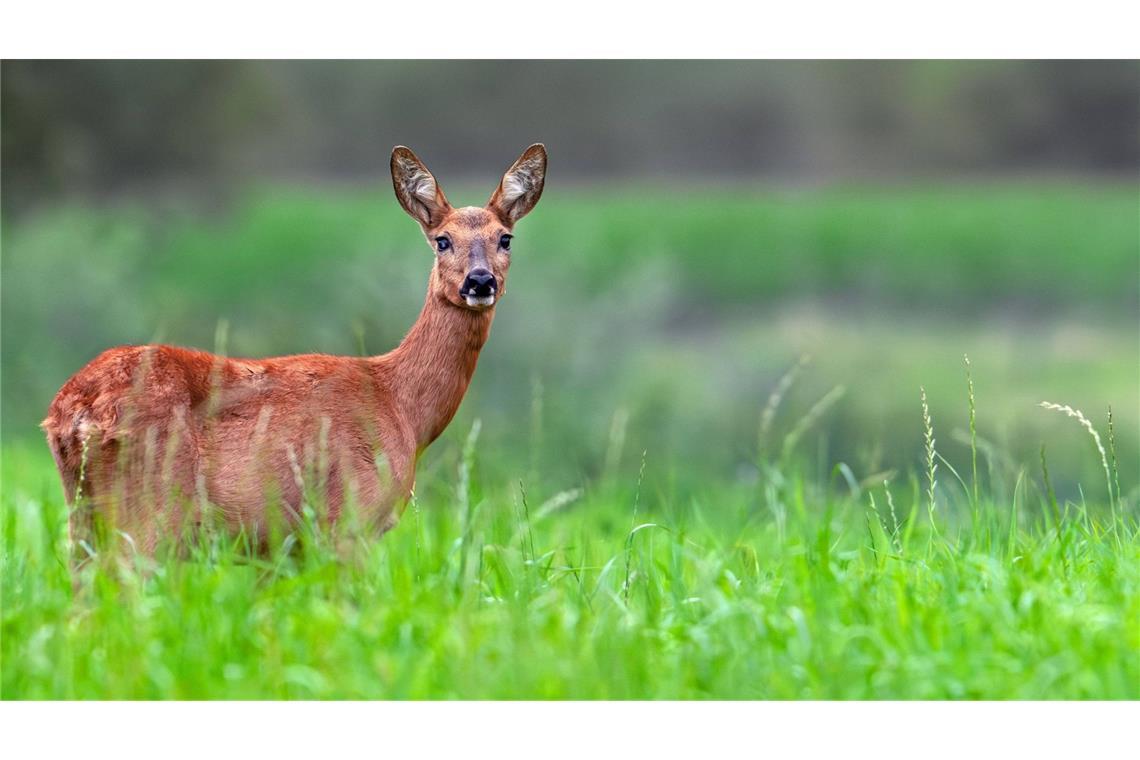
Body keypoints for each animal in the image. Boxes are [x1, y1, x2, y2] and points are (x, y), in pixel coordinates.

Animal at [40, 142, 547, 565]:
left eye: (505, 238)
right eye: (442, 240)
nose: (479, 282)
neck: (401, 405)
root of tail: (72, 412)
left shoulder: (283, 546)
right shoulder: (348, 522)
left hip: (84, 515)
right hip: (150, 509)